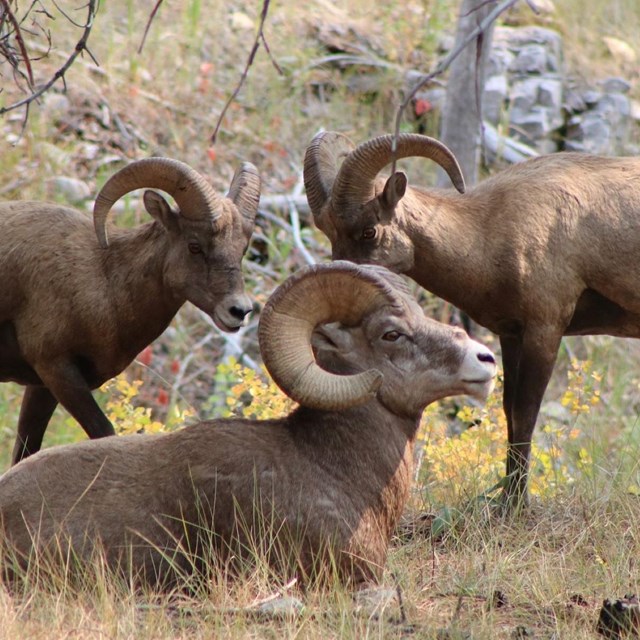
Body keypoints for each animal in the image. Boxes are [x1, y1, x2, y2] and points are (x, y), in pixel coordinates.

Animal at [0, 155, 260, 464]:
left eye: (242, 249)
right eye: (194, 246)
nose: (239, 311)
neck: (105, 282)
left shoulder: (43, 385)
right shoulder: (57, 370)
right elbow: (103, 432)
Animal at [302, 131, 640, 510]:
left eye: (369, 232)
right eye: (328, 230)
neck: (488, 233)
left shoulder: (545, 331)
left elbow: (525, 415)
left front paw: (516, 505)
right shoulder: (512, 336)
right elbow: (509, 414)